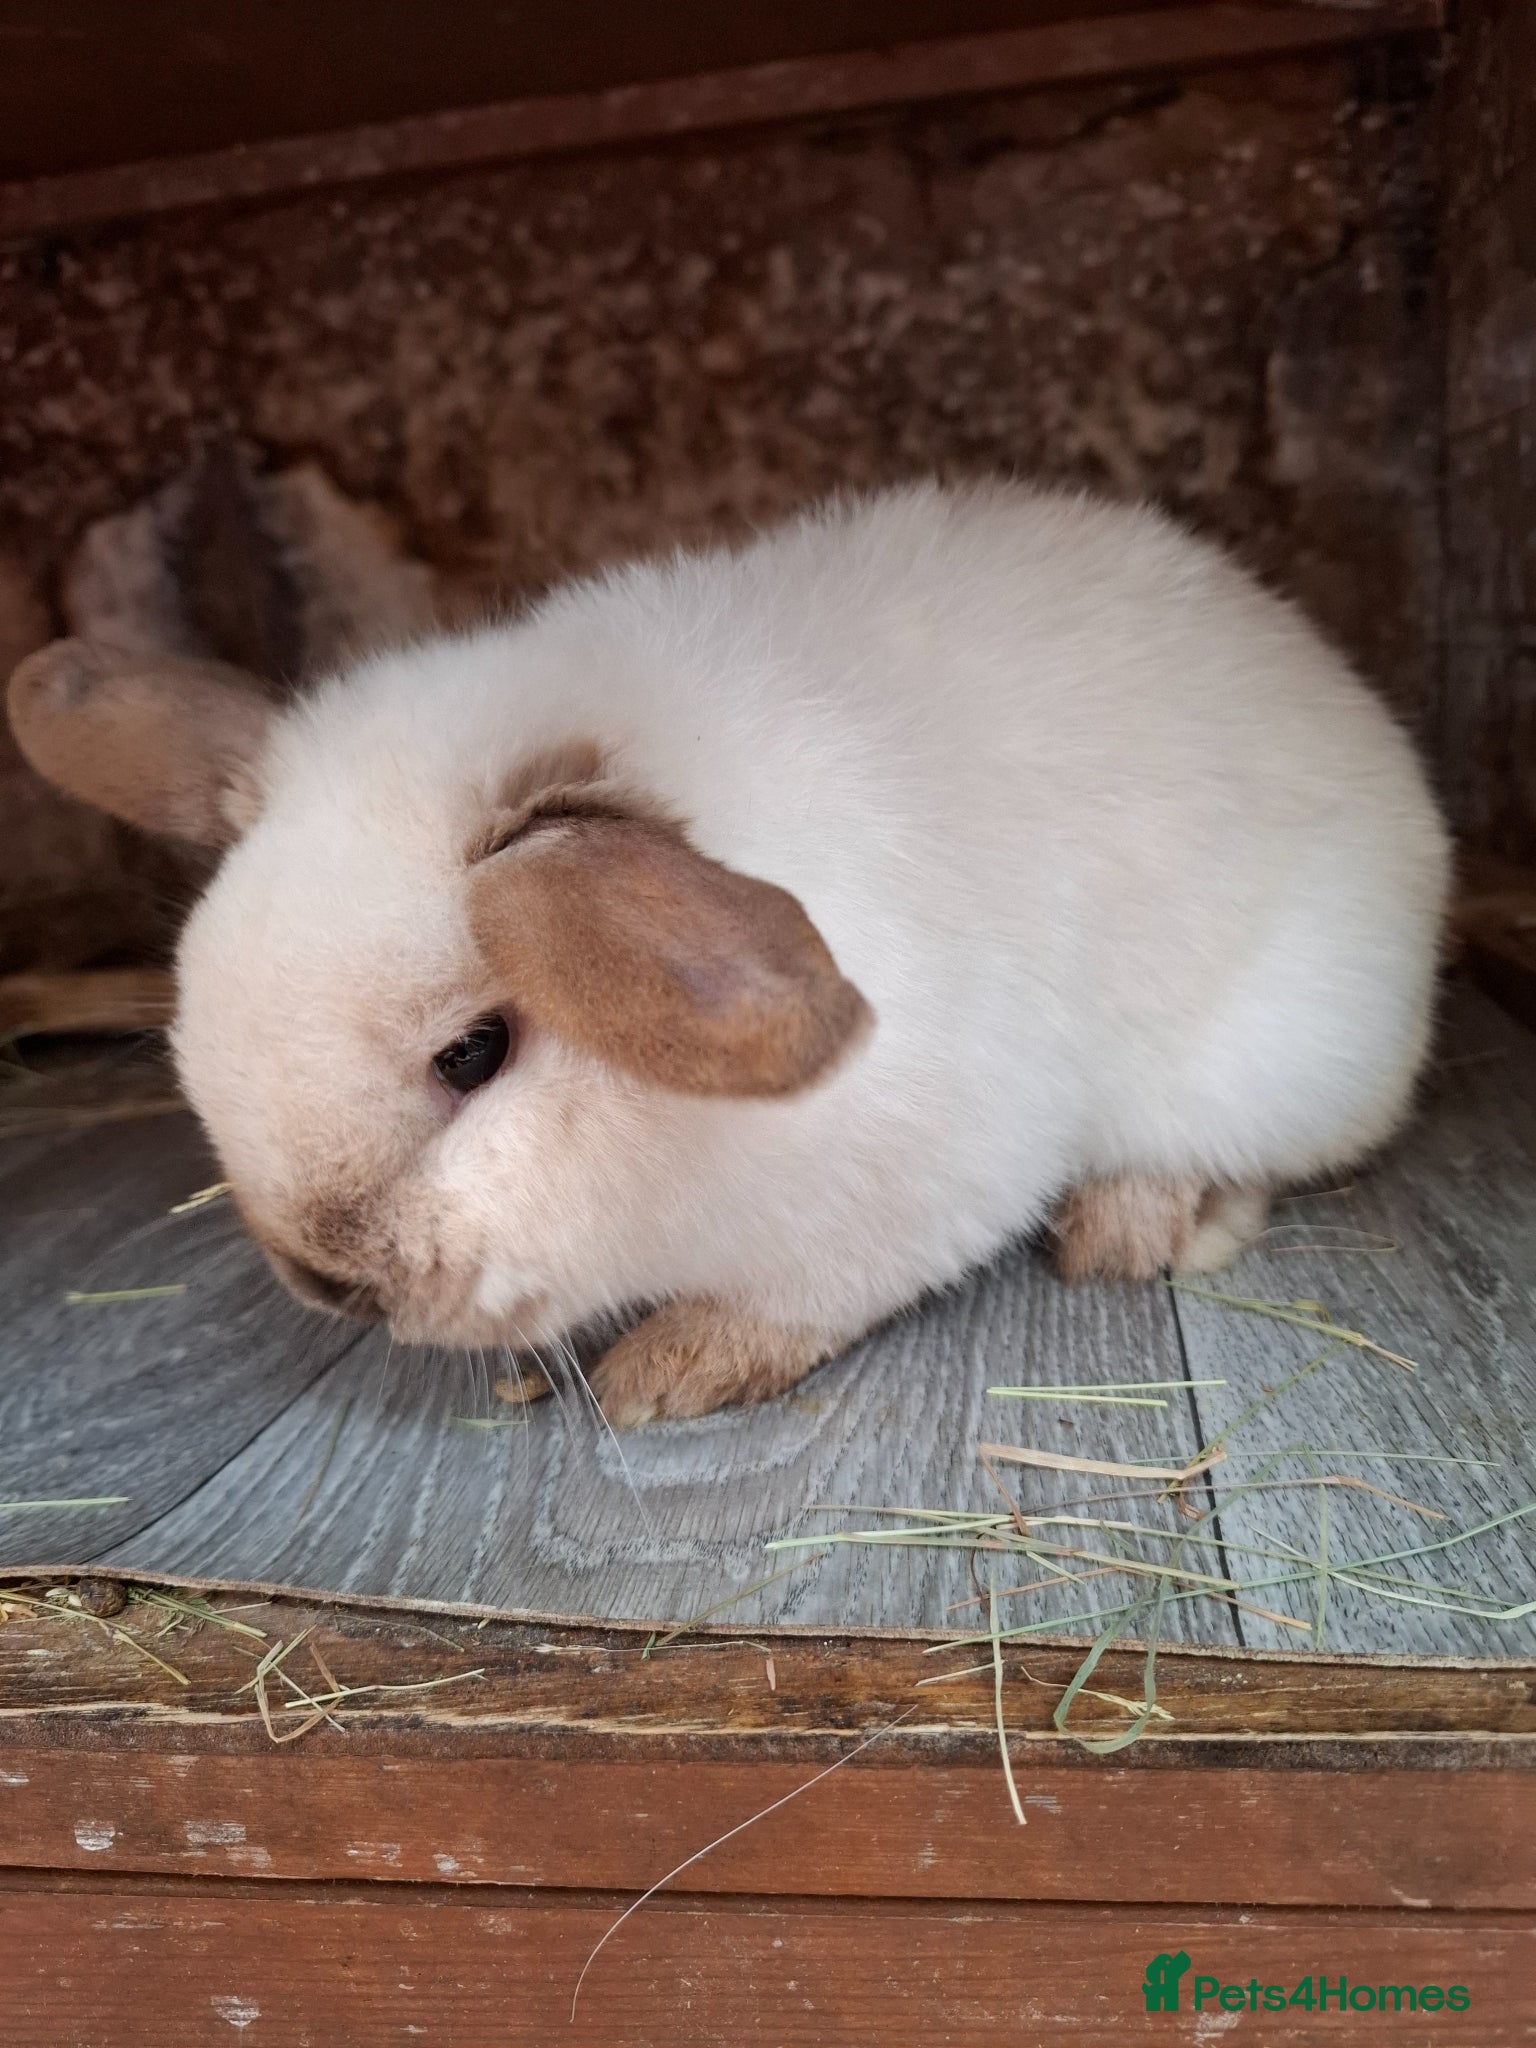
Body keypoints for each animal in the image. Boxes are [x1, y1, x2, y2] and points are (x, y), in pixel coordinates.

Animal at [8, 481, 1451, 1427]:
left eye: (472, 1052)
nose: (326, 1279)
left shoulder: (917, 1180)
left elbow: (799, 1300)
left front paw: (668, 1373)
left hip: (1282, 1054)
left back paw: (1140, 1225)